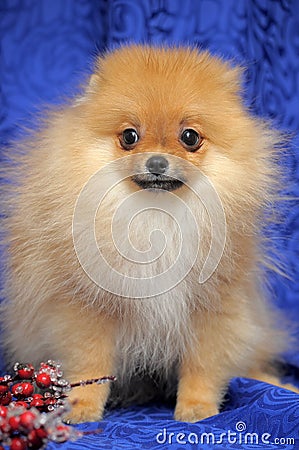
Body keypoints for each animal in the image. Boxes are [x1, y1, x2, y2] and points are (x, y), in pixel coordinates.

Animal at [1, 45, 298, 422]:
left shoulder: (213, 304)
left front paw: (197, 407)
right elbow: (90, 364)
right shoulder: (85, 309)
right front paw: (82, 406)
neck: (155, 220)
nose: (156, 163)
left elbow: (204, 364)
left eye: (190, 137)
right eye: (130, 136)